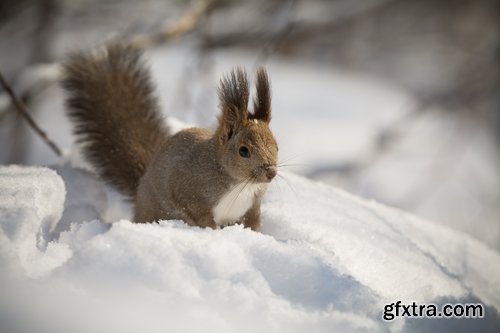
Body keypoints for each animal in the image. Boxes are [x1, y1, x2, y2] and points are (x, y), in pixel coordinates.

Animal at [62, 44, 278, 231]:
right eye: (243, 151)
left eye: (277, 147)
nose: (271, 173)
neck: (239, 183)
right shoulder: (188, 190)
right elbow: (199, 215)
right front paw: (214, 232)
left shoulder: (252, 206)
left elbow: (252, 222)